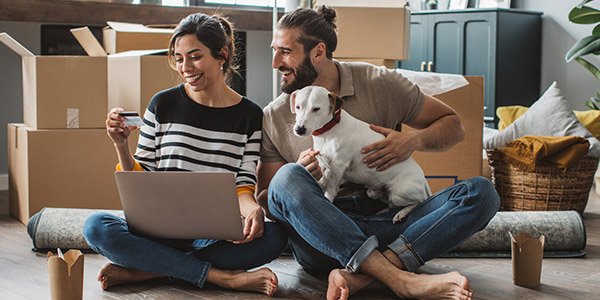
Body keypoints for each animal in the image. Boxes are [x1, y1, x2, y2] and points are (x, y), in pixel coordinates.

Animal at [290, 85, 432, 221]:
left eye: (316, 109)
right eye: (298, 106)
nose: (299, 129)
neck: (329, 131)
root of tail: (423, 180)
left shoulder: (339, 165)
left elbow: (331, 187)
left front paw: (328, 198)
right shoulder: (325, 163)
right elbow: (323, 177)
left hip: (399, 193)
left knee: (419, 201)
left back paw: (401, 213)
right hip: (374, 193)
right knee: (391, 204)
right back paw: (384, 211)